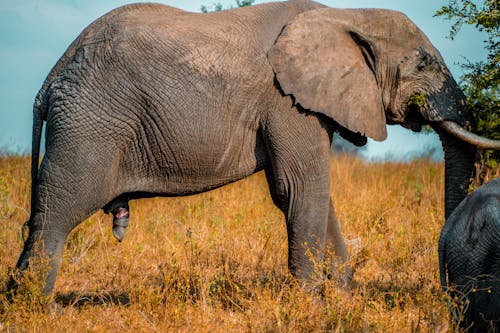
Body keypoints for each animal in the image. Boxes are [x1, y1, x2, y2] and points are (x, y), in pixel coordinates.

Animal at [10, 0, 500, 294]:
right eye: (424, 64)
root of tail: (51, 77)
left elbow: (310, 194)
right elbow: (299, 188)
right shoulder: (286, 102)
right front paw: (311, 302)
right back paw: (36, 308)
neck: (345, 15)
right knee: (58, 214)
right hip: (89, 125)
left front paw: (342, 296)